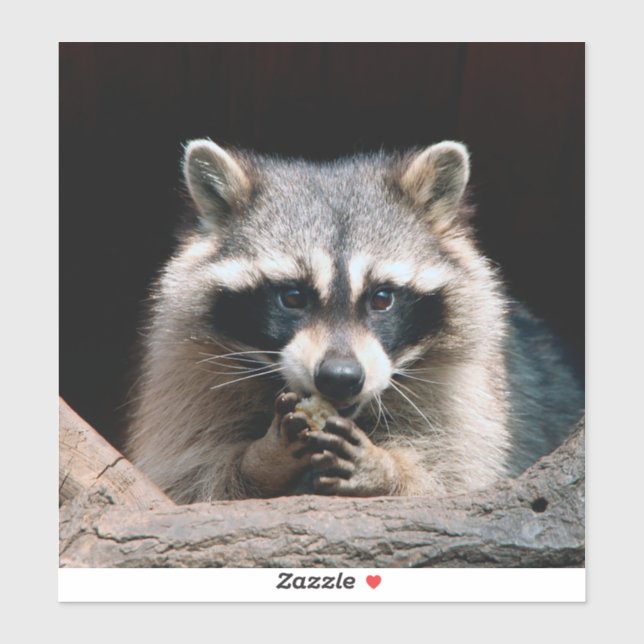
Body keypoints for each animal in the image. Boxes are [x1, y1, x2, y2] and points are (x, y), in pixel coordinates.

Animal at [124, 139, 584, 503]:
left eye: (382, 298)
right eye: (293, 297)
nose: (340, 377)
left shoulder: (471, 390)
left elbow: (457, 477)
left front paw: (388, 469)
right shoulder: (188, 375)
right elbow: (187, 477)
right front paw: (260, 460)